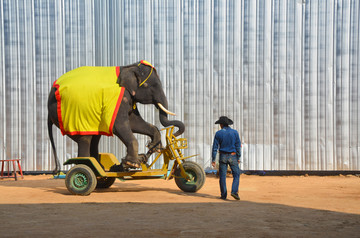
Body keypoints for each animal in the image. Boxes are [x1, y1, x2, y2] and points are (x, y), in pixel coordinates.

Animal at [47, 59, 184, 171]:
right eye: (149, 85)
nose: (176, 134)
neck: (129, 67)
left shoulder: (129, 97)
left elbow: (134, 122)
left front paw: (155, 147)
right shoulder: (117, 97)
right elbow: (119, 125)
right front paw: (131, 164)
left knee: (95, 139)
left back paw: (100, 167)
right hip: (70, 116)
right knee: (85, 139)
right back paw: (86, 165)